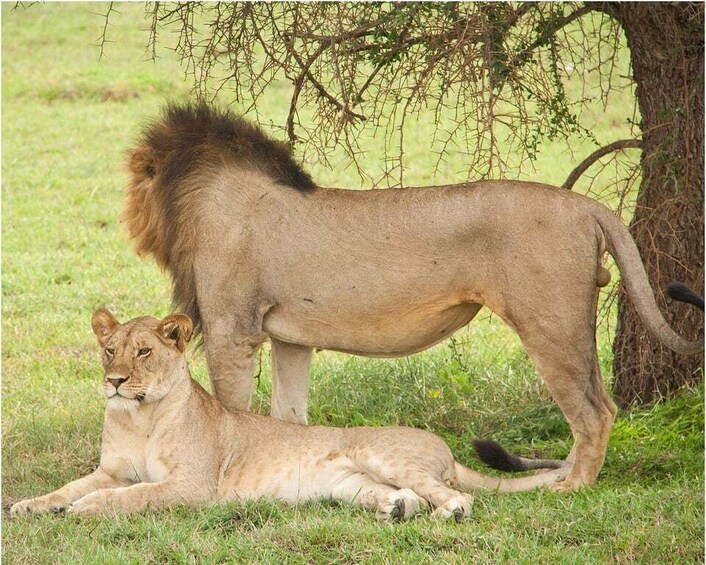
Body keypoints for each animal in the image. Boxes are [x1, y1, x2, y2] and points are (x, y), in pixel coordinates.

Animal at [10, 310, 568, 520]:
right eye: (110, 350)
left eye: (144, 351)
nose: (116, 381)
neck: (139, 417)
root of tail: (445, 448)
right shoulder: (109, 469)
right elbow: (67, 487)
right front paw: (28, 505)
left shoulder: (192, 486)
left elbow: (132, 495)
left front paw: (86, 509)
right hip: (351, 485)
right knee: (403, 496)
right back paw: (396, 510)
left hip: (383, 455)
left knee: (458, 498)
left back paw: (442, 516)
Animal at [123, 103, 703, 491]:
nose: (129, 218)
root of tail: (585, 206)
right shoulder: (291, 340)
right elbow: (289, 420)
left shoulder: (233, 330)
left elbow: (231, 410)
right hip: (568, 325)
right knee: (601, 405)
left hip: (550, 325)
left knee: (594, 413)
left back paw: (571, 488)